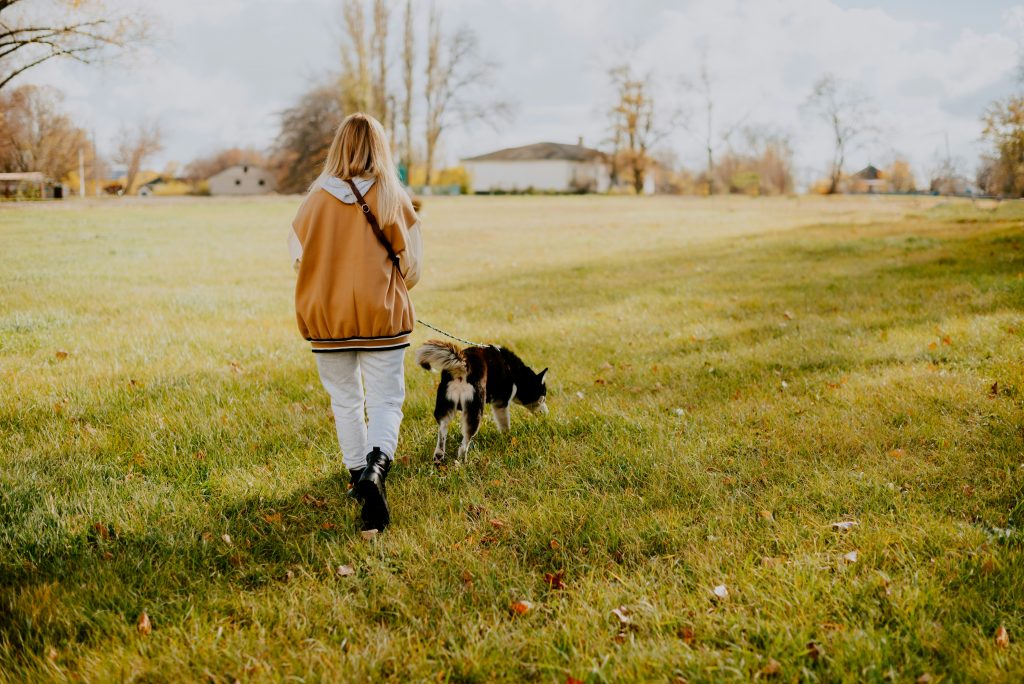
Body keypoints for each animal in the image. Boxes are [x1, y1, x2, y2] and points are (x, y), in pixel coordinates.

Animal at [413, 339, 548, 462]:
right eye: (543, 397)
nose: (547, 413)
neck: (515, 373)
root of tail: (464, 365)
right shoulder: (501, 403)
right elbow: (505, 424)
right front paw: (507, 438)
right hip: (475, 410)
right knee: (464, 445)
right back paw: (463, 462)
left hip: (445, 406)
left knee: (442, 431)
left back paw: (439, 456)